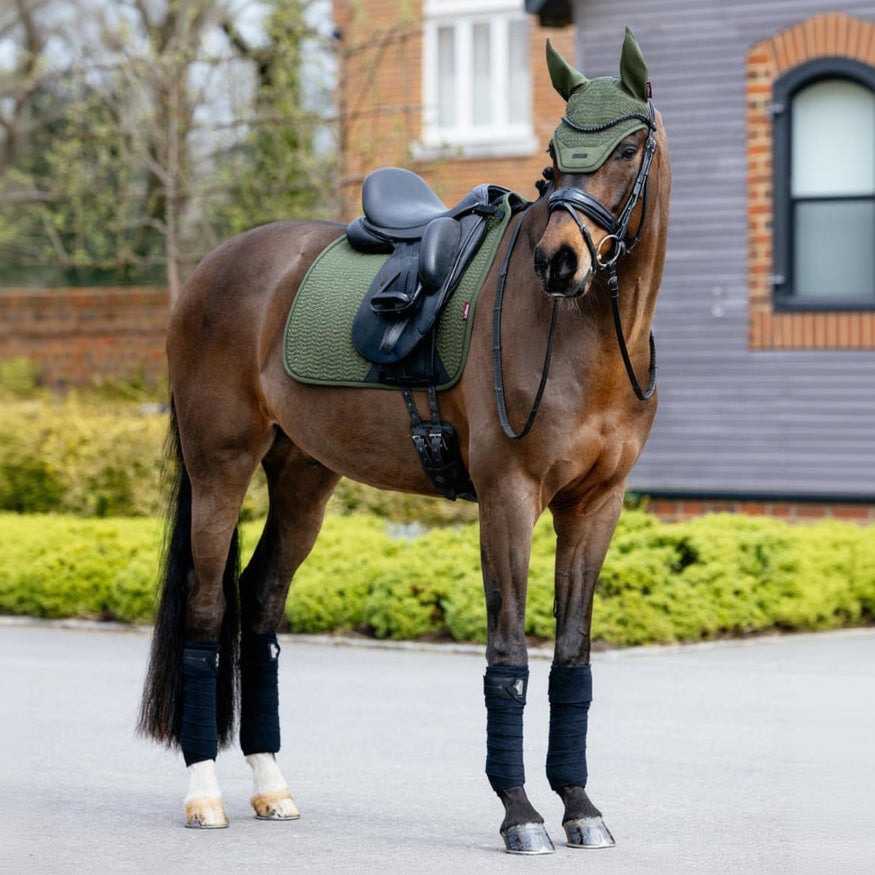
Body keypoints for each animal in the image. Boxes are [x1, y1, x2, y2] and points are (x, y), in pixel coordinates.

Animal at [138, 29, 670, 854]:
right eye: (555, 153)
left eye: (625, 148)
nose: (558, 261)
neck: (586, 336)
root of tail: (212, 270)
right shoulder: (508, 499)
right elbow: (507, 654)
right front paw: (519, 811)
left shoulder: (595, 506)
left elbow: (571, 657)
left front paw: (579, 805)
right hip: (220, 466)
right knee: (205, 610)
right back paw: (204, 795)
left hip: (304, 478)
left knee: (259, 603)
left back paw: (271, 784)